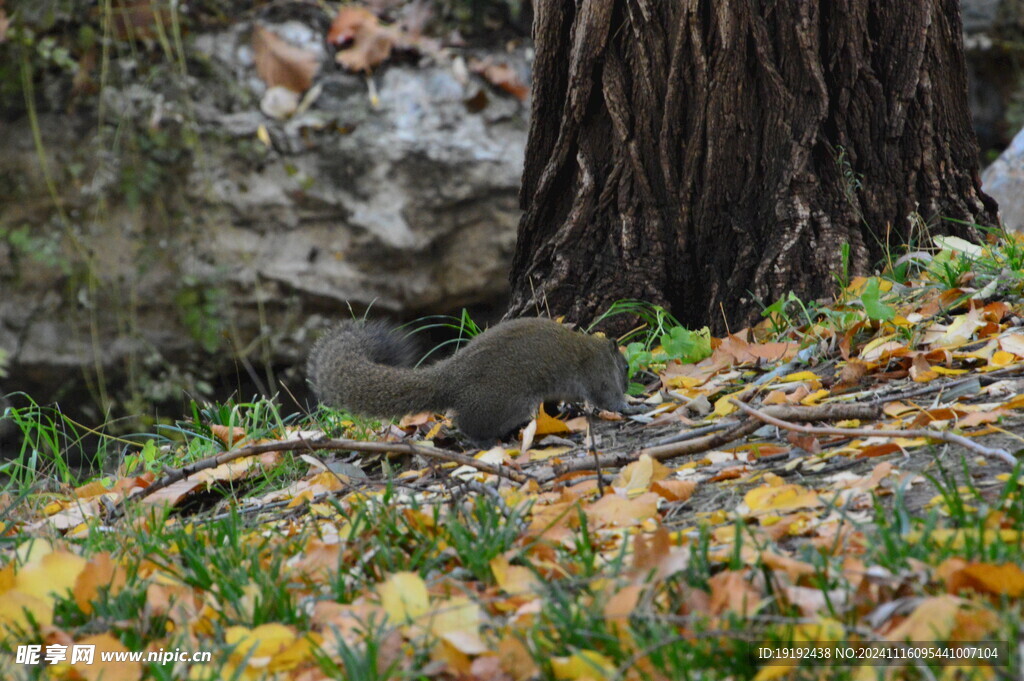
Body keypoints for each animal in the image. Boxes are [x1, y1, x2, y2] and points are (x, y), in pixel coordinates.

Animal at [303, 315, 626, 444]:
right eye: (624, 365)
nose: (629, 378)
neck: (596, 349)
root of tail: (450, 377)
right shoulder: (597, 376)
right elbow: (605, 396)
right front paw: (624, 405)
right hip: (505, 402)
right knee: (469, 423)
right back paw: (485, 440)